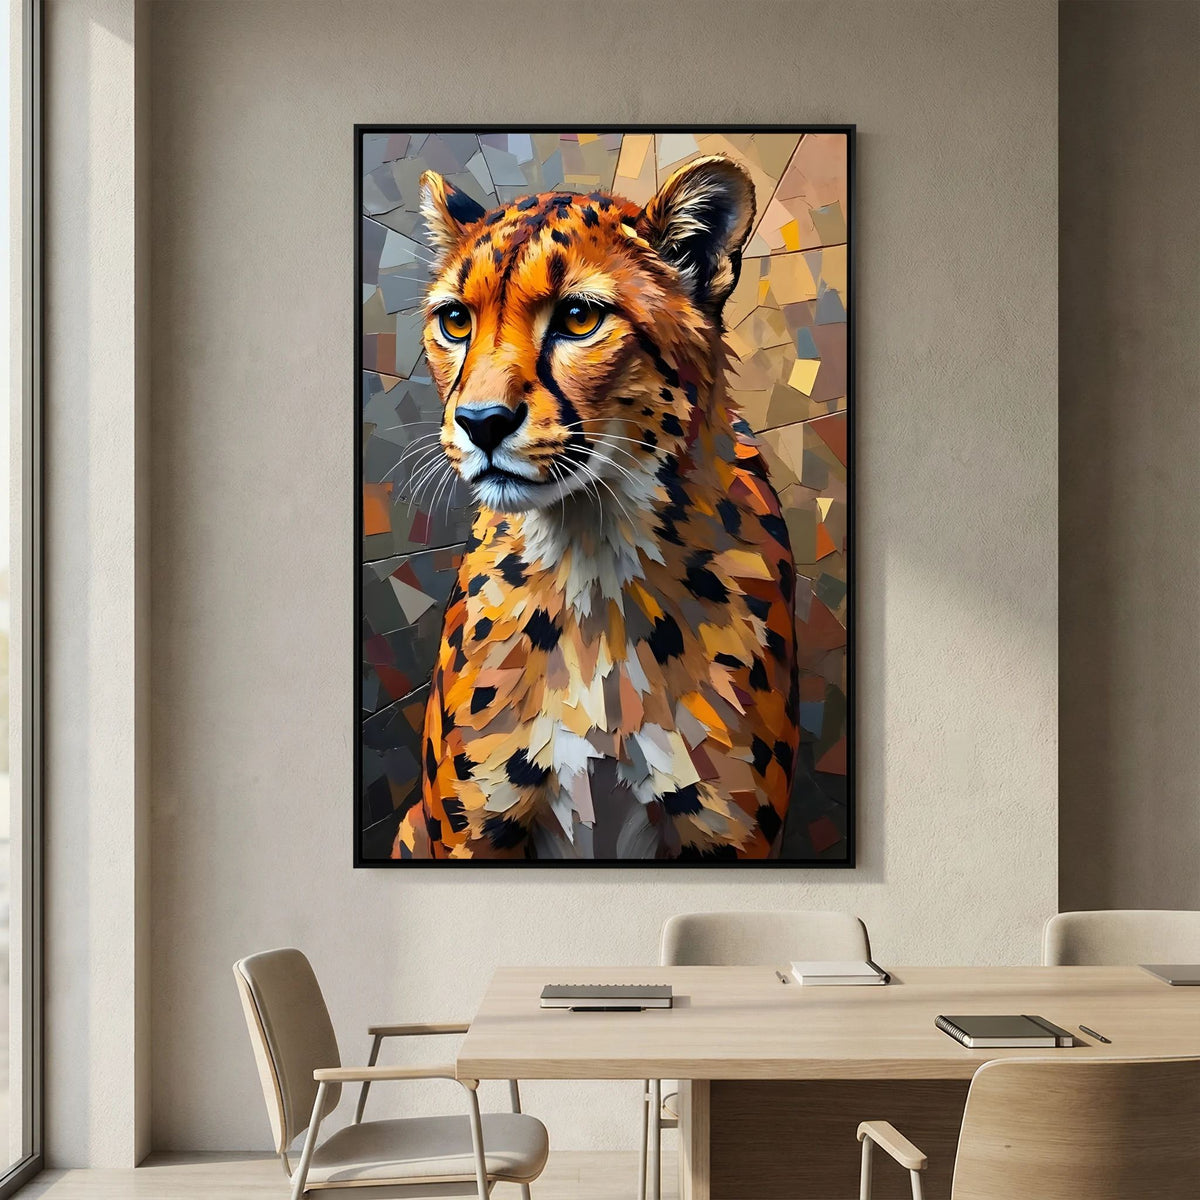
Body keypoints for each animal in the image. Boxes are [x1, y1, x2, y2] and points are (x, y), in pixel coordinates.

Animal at [391, 153, 799, 860]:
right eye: (456, 321)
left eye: (580, 317)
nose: (481, 422)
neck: (592, 549)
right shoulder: (474, 834)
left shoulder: (727, 834)